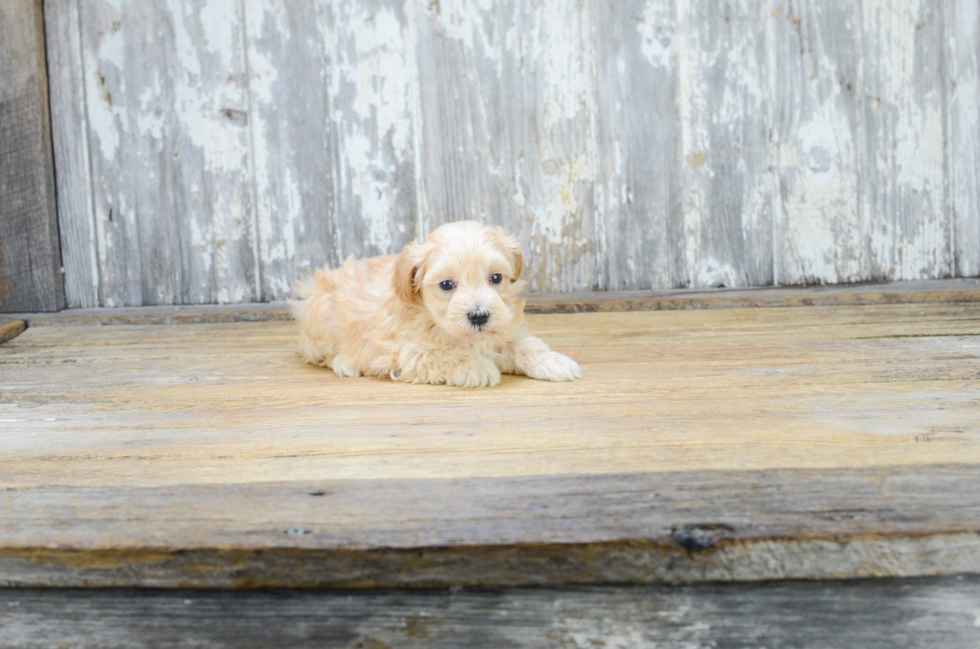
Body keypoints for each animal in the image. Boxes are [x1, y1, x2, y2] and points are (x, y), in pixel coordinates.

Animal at [290, 220, 580, 388]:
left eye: (496, 278)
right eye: (447, 285)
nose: (479, 316)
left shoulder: (506, 329)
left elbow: (527, 346)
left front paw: (555, 362)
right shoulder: (408, 352)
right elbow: (446, 355)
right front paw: (479, 367)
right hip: (321, 314)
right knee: (323, 354)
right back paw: (344, 364)